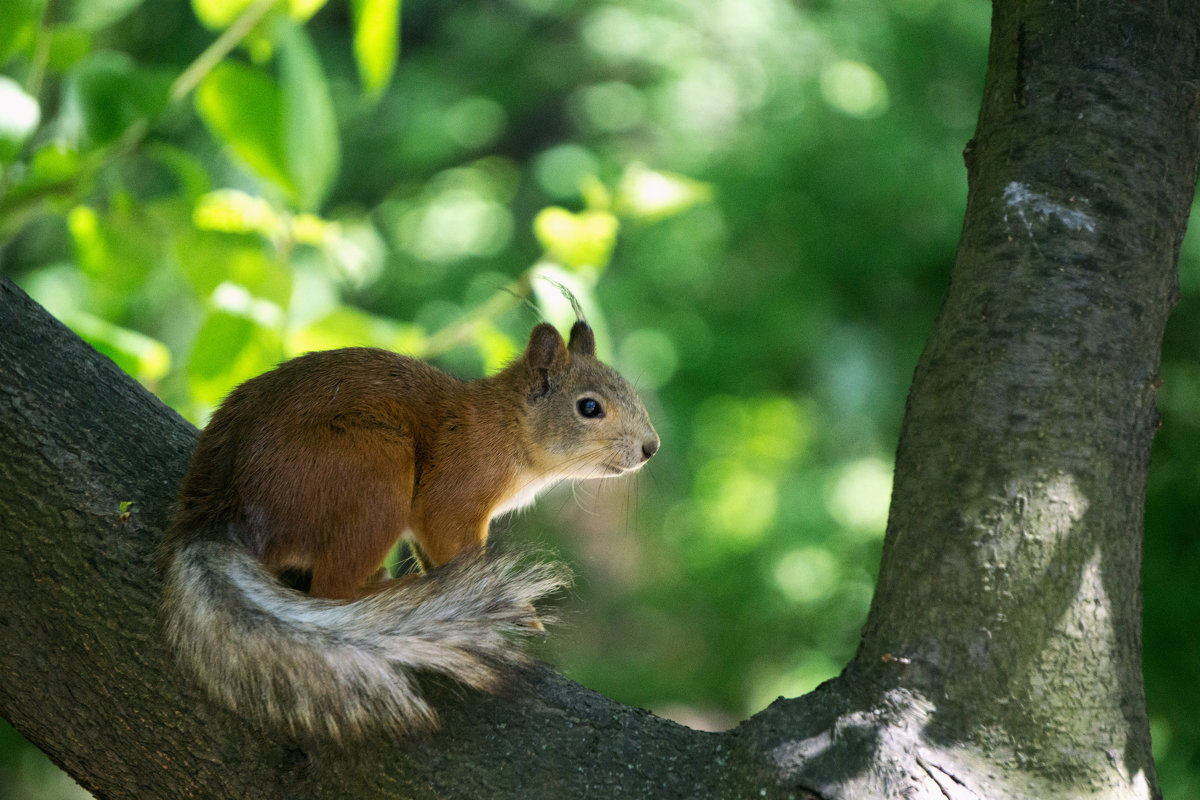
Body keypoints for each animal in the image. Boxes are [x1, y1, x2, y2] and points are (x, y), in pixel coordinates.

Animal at [158, 316, 657, 738]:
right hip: (373, 468)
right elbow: (459, 549)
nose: (651, 447)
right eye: (589, 407)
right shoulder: (452, 496)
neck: (504, 427)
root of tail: (219, 509)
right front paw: (501, 607)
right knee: (332, 589)